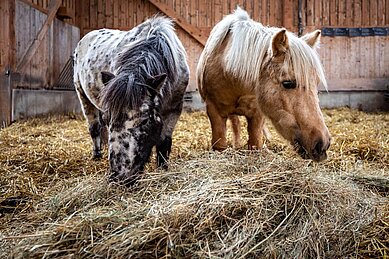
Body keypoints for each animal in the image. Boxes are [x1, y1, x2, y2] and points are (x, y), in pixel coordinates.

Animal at [73, 16, 189, 185]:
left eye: (145, 120)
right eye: (109, 119)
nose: (120, 176)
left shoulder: (173, 110)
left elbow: (164, 143)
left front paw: (163, 169)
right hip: (82, 95)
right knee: (94, 127)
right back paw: (97, 154)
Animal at [197, 8, 330, 161]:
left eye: (316, 83)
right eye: (288, 83)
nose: (322, 144)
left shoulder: (257, 115)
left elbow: (255, 143)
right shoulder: (214, 112)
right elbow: (220, 144)